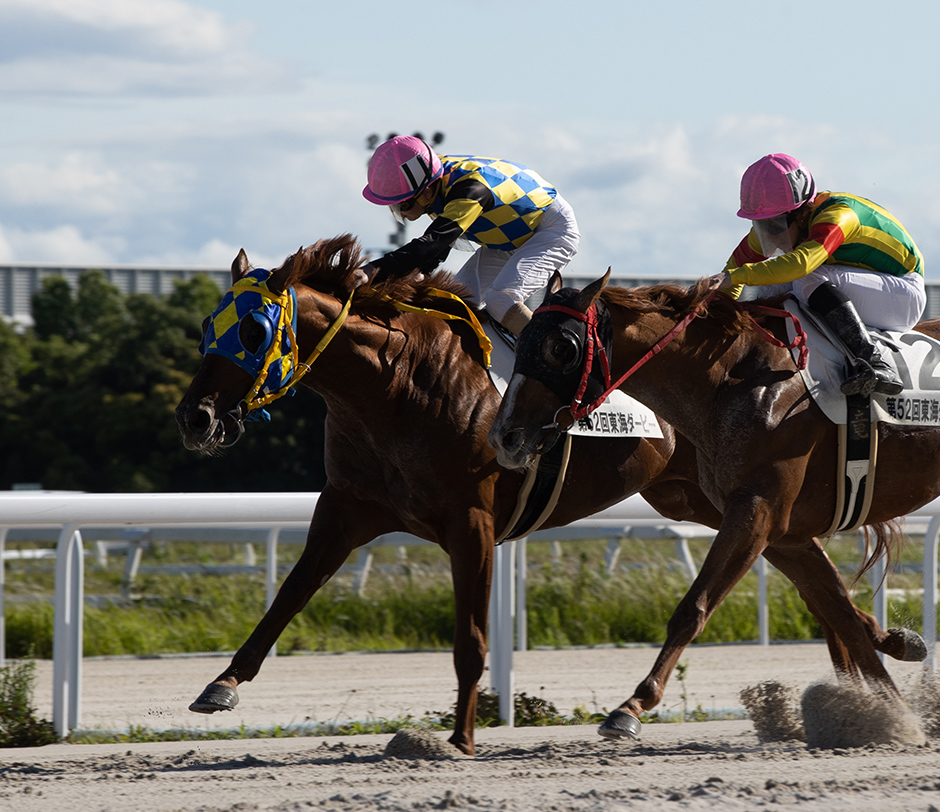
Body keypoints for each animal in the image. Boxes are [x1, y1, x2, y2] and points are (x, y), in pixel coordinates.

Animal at [488, 272, 936, 744]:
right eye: (520, 341)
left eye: (562, 348)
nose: (505, 436)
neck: (731, 382)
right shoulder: (783, 531)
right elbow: (839, 611)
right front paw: (891, 712)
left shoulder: (757, 511)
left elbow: (694, 608)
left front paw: (631, 707)